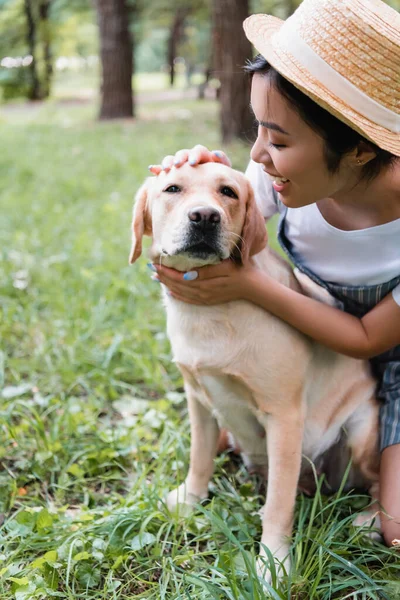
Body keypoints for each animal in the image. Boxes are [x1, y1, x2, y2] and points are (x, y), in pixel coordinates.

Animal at [128, 162, 378, 584]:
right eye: (172, 189)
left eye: (228, 192)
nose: (205, 216)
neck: (210, 315)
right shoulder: (198, 399)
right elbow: (199, 459)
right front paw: (189, 501)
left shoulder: (284, 415)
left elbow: (278, 504)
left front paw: (273, 563)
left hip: (361, 436)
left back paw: (371, 520)